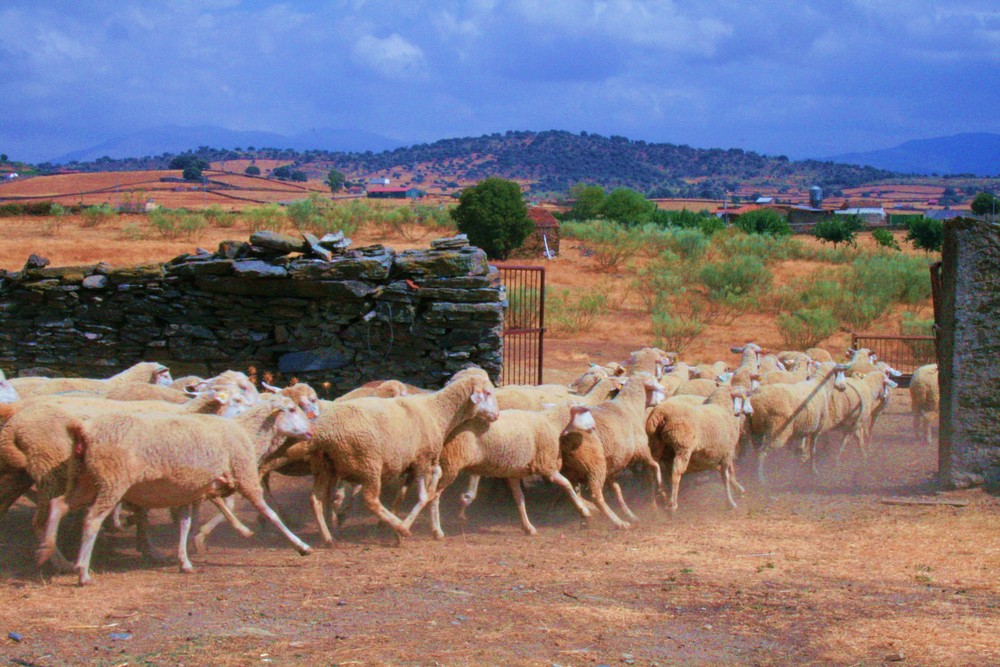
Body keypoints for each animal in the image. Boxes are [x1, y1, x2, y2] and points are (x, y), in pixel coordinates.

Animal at [39, 394, 314, 588]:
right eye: (291, 409)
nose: (311, 431)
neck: (246, 433)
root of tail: (83, 431)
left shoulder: (188, 490)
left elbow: (185, 523)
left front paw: (185, 561)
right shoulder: (245, 476)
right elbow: (270, 514)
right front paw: (301, 546)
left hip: (85, 479)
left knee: (58, 505)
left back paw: (48, 552)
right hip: (111, 481)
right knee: (91, 521)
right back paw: (82, 573)